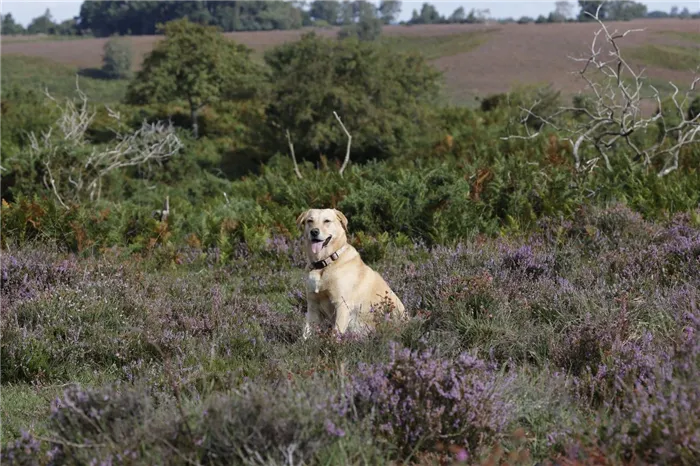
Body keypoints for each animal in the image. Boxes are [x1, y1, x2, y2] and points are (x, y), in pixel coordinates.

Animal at [296, 208, 404, 338]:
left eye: (327, 221)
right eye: (310, 221)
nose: (314, 232)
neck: (325, 264)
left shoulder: (342, 305)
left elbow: (335, 334)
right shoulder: (313, 306)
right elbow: (306, 333)